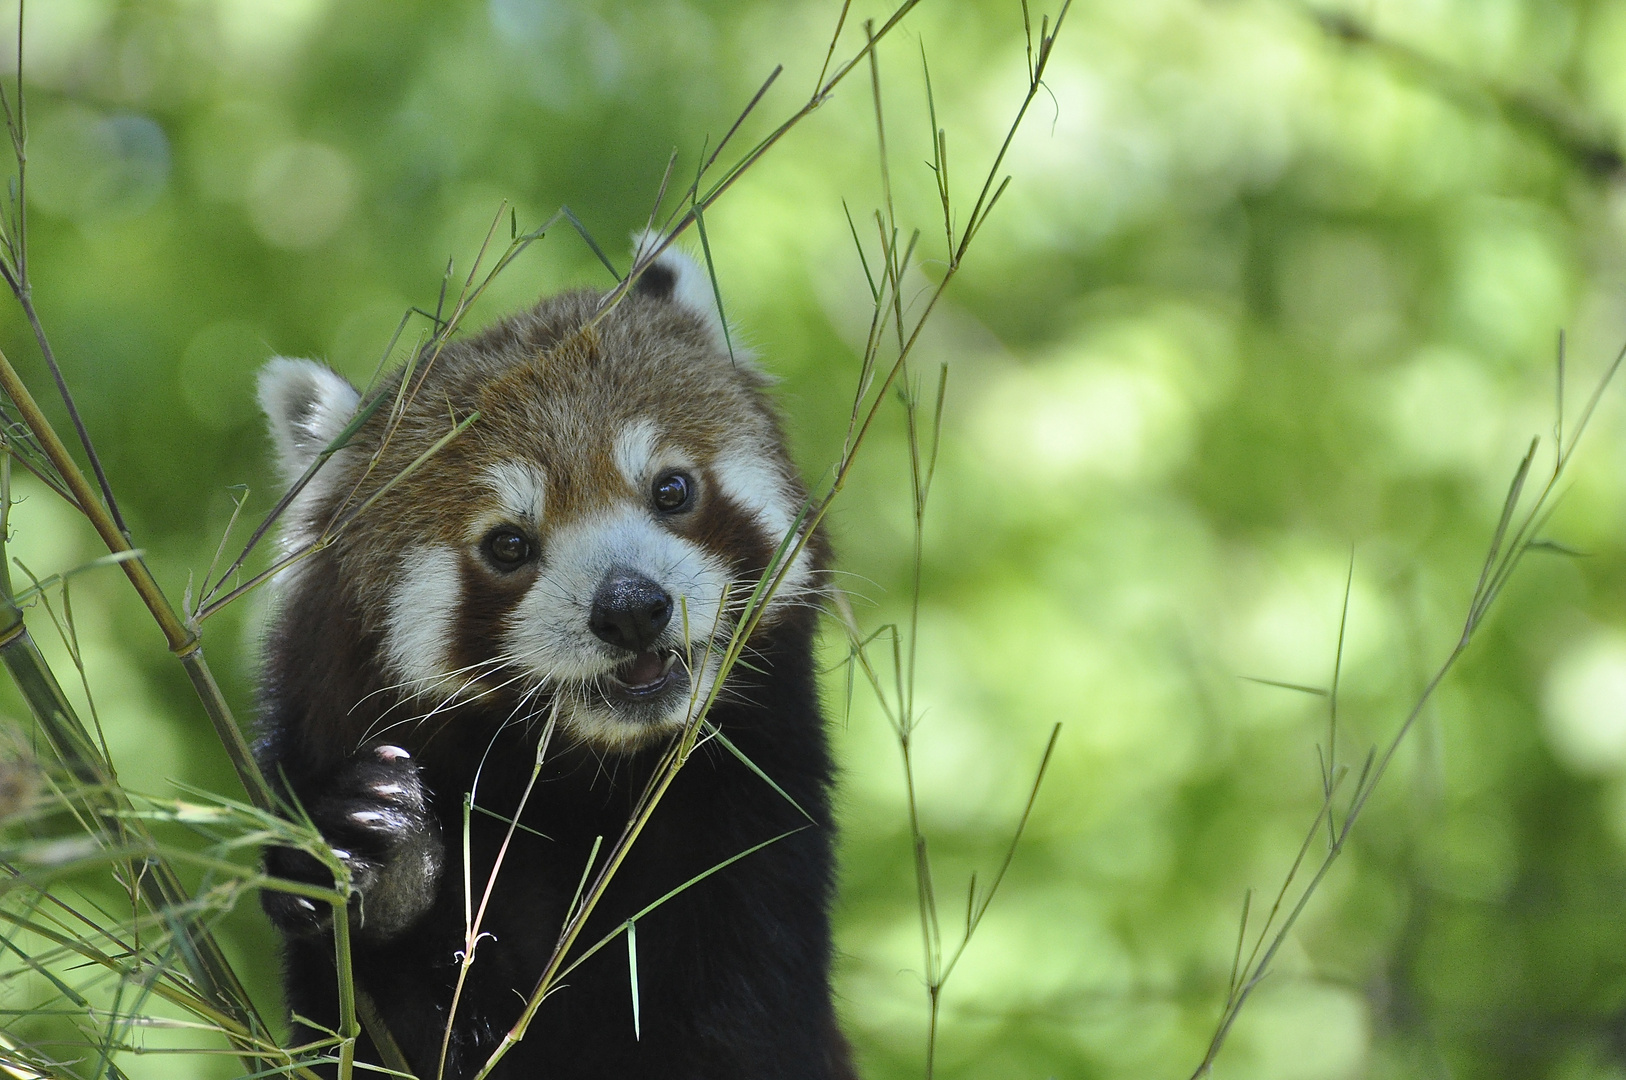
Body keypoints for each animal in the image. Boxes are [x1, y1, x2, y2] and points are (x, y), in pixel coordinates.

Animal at [253, 239, 852, 1080]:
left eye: (672, 489)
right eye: (508, 544)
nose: (631, 608)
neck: (587, 785)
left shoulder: (753, 836)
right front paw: (385, 860)